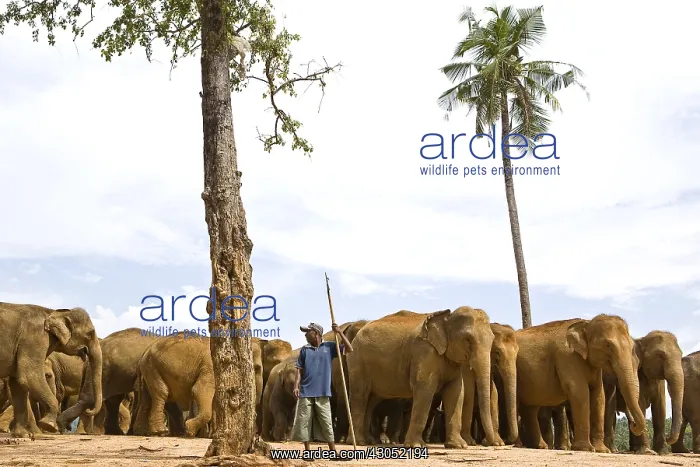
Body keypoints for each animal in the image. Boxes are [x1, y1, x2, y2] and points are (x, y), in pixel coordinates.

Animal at [0, 302, 103, 438]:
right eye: (90, 333)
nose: (88, 410)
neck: (52, 312)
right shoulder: (35, 339)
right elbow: (29, 377)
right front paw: (48, 425)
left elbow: (17, 383)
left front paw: (23, 435)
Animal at [133, 333, 263, 437]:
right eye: (256, 368)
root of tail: (145, 351)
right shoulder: (211, 367)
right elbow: (199, 390)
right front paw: (190, 430)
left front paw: (210, 435)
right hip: (152, 367)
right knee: (162, 393)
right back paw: (159, 431)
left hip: (150, 369)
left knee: (146, 399)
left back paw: (141, 432)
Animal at [346, 307, 496, 449]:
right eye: (467, 339)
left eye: (492, 339)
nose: (487, 443)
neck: (446, 318)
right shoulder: (424, 352)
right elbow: (425, 390)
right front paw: (416, 446)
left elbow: (456, 393)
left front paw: (458, 446)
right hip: (357, 362)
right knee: (360, 396)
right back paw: (359, 442)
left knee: (371, 400)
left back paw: (368, 441)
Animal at [513, 314, 646, 453]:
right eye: (607, 345)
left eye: (631, 346)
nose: (633, 425)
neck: (586, 324)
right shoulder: (567, 356)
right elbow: (579, 392)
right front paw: (585, 448)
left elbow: (599, 395)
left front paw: (602, 450)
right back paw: (519, 445)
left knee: (530, 408)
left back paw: (540, 446)